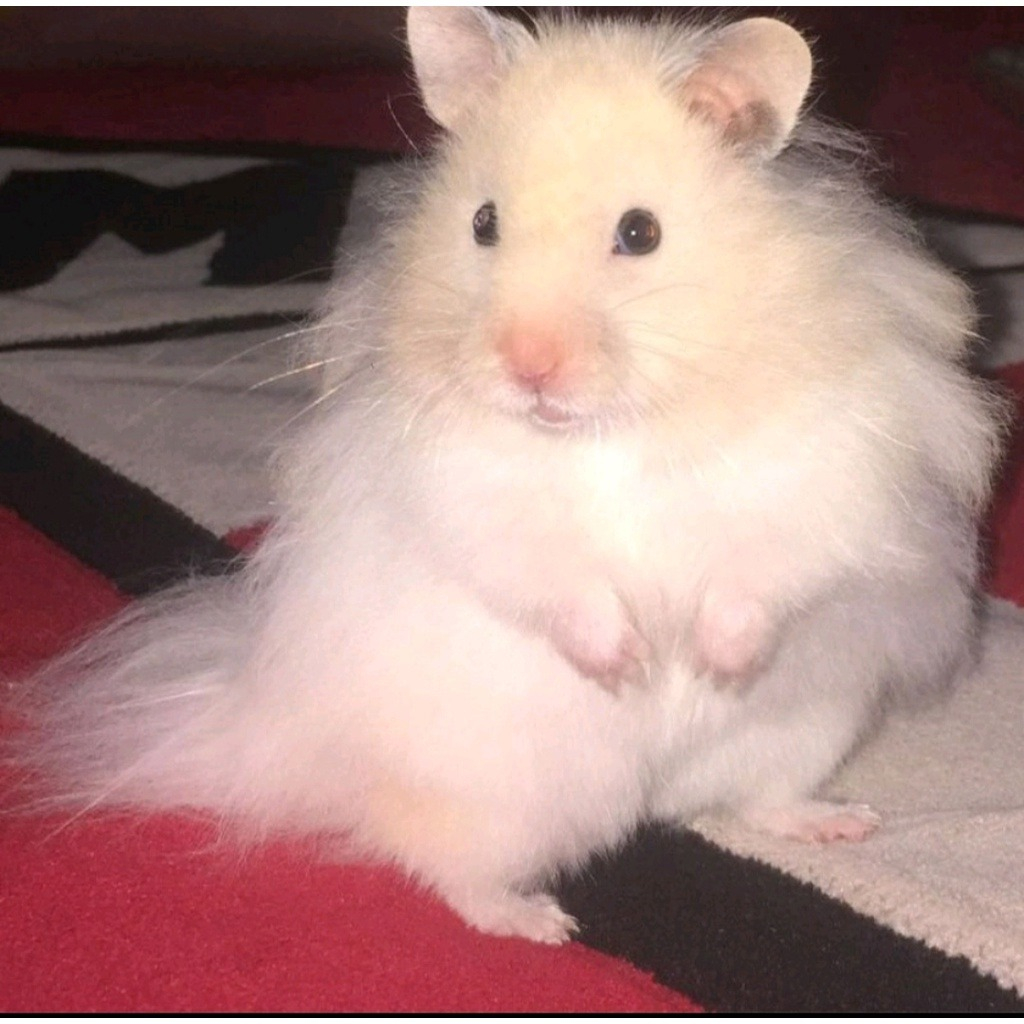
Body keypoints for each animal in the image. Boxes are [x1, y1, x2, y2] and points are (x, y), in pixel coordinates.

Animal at [4, 8, 1005, 944]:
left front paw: (702, 665)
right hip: (497, 794)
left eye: (640, 232)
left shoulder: (821, 470)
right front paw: (631, 669)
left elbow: (760, 570)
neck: (615, 425)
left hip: (808, 725)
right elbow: (554, 578)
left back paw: (840, 822)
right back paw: (542, 923)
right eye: (483, 223)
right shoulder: (474, 496)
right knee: (437, 859)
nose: (528, 368)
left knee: (752, 796)